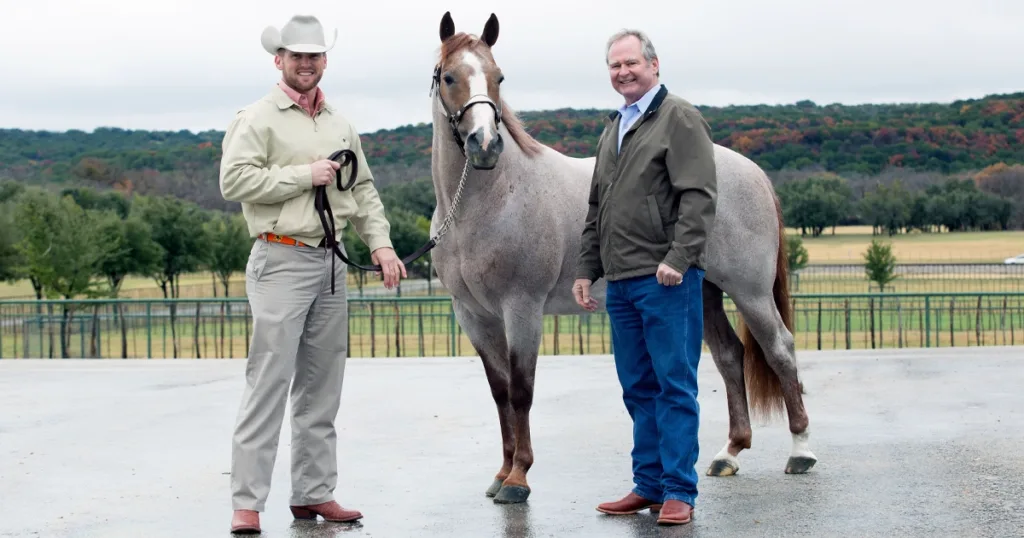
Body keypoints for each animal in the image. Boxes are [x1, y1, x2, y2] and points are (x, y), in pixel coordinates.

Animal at [423, 9, 815, 504]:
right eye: (449, 76)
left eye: (499, 77)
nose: (485, 144)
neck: (489, 201)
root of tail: (753, 172)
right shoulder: (474, 315)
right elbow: (500, 392)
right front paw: (502, 472)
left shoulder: (521, 308)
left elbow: (522, 391)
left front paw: (518, 478)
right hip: (703, 291)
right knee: (730, 356)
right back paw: (729, 453)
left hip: (750, 292)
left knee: (780, 348)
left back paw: (801, 450)